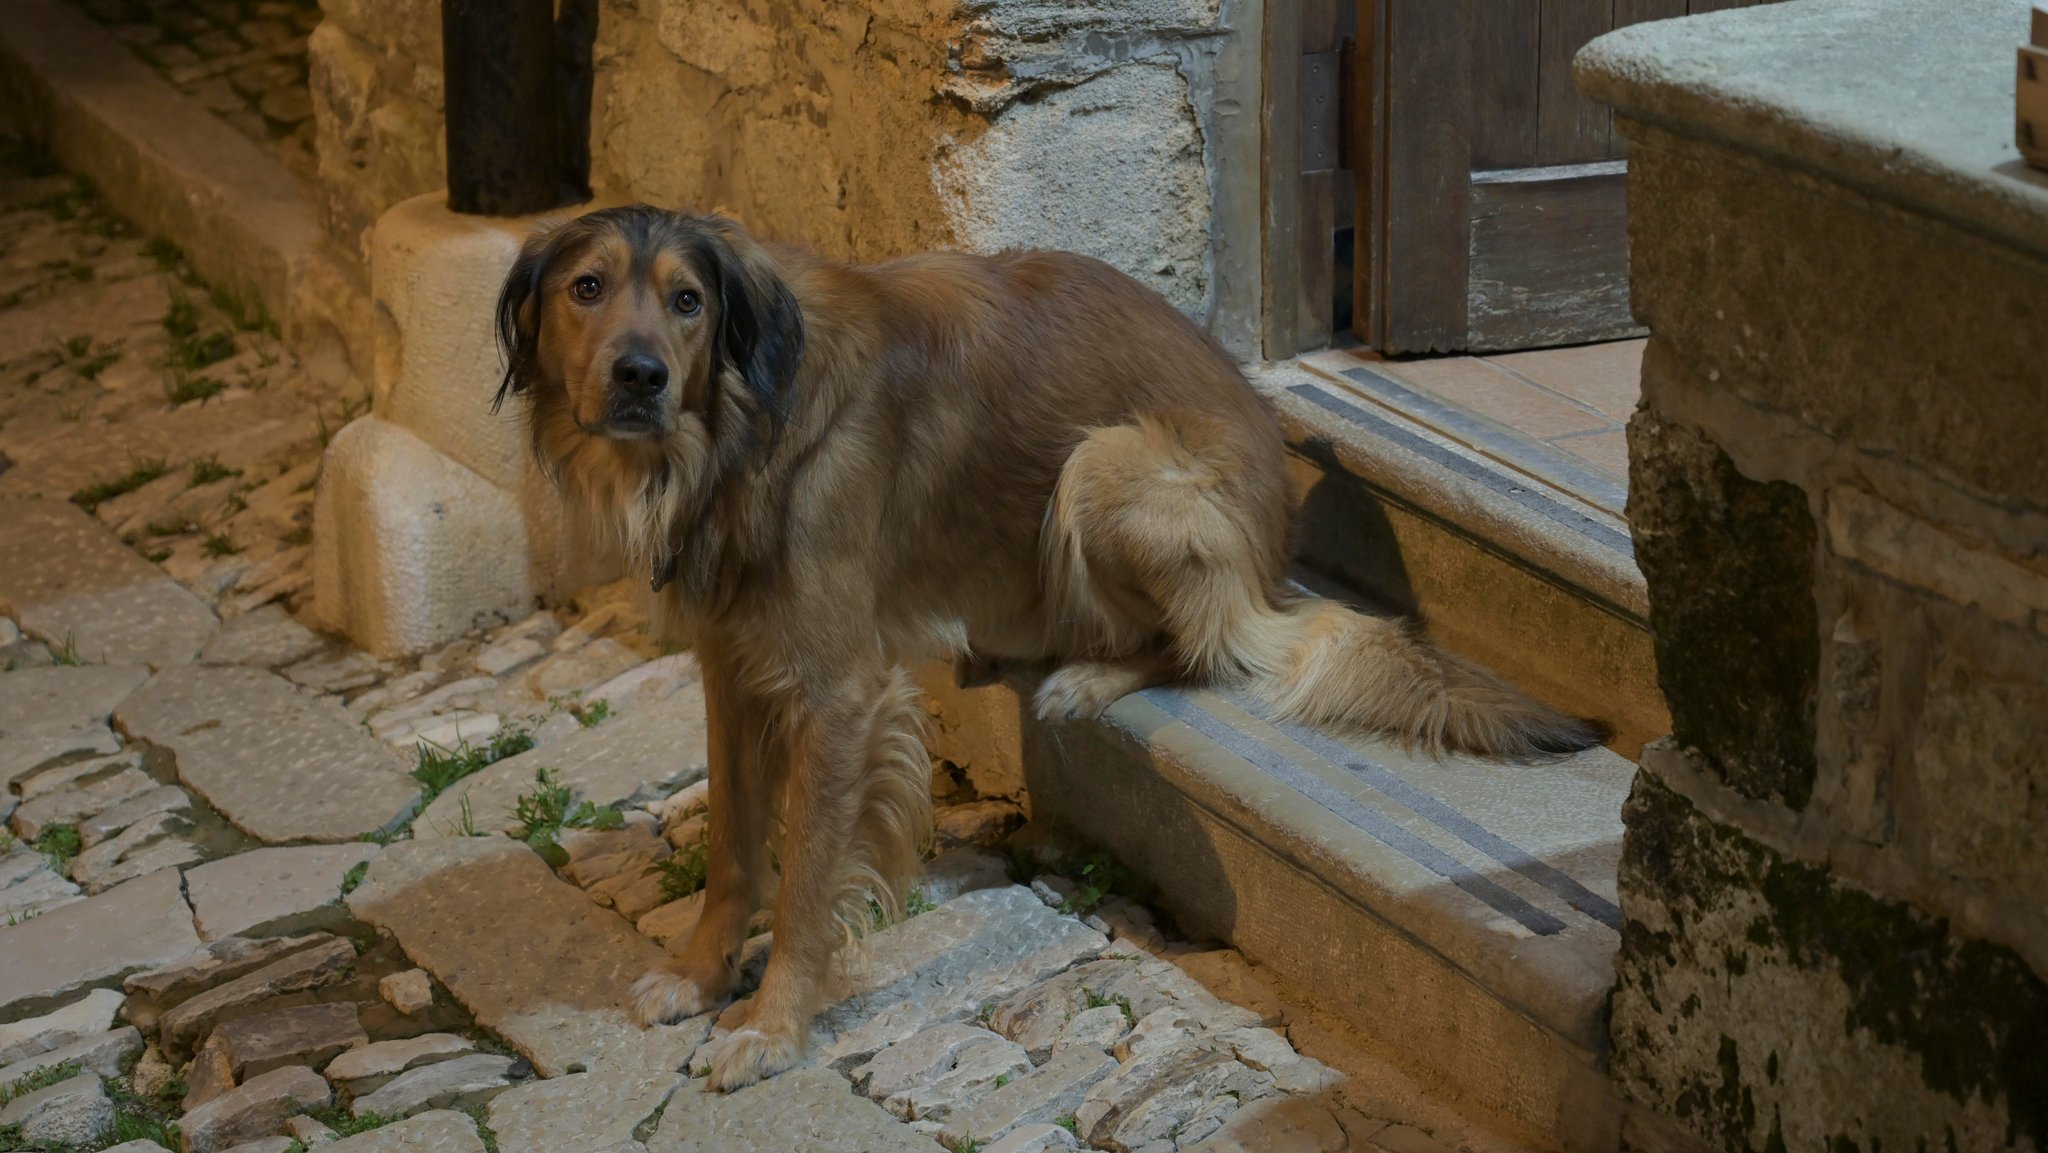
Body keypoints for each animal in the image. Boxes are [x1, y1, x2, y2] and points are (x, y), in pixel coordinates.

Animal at [499, 202, 1597, 1089]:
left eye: (688, 302)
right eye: (586, 288)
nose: (639, 376)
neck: (738, 429)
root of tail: (1276, 552)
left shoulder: (839, 696)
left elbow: (806, 877)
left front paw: (771, 1027)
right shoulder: (731, 671)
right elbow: (733, 847)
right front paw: (697, 973)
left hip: (1105, 464)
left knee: (1203, 648)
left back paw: (1085, 675)